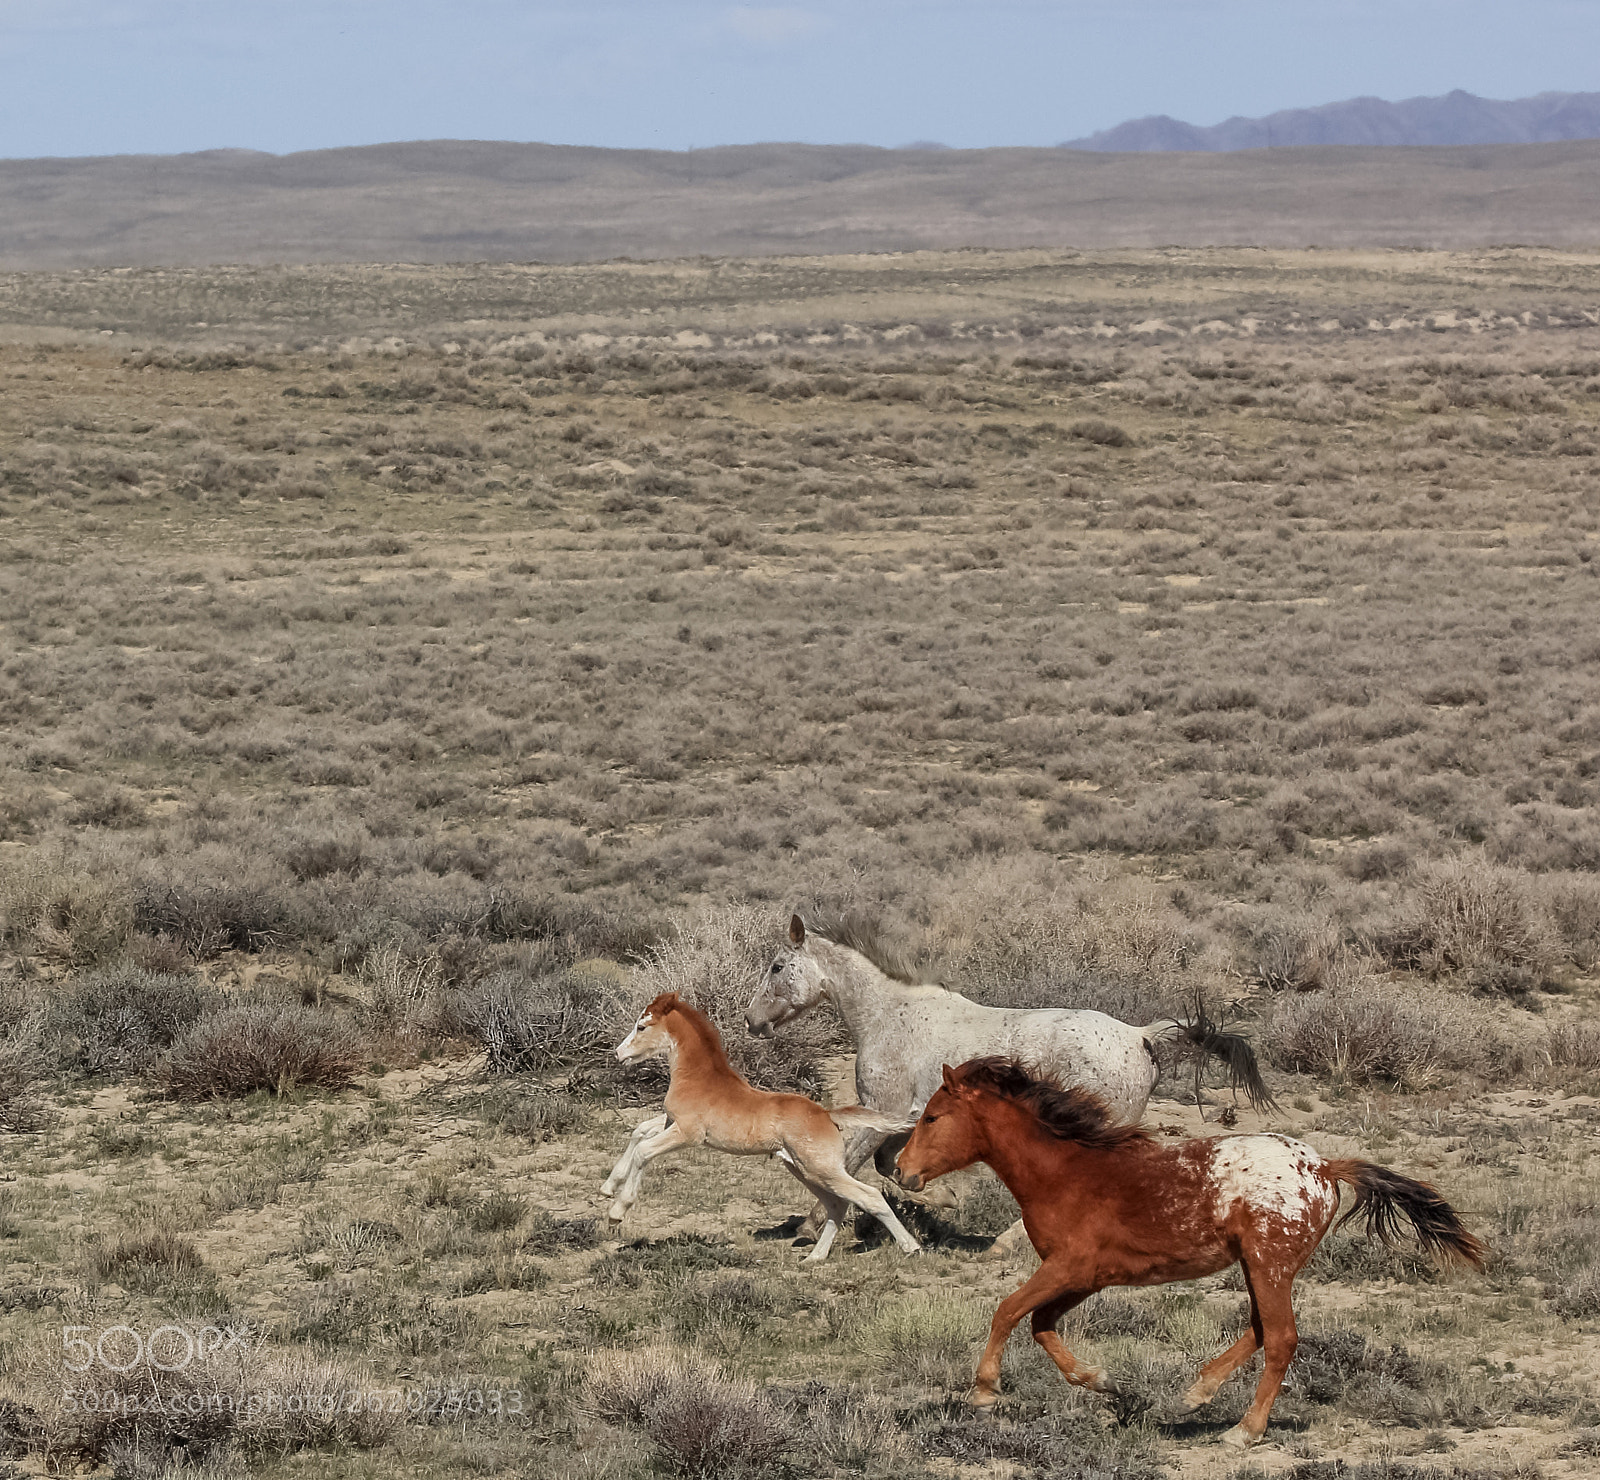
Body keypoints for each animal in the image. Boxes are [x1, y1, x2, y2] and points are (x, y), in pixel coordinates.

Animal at [600, 991, 923, 1263]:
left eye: (642, 1026)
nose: (618, 1053)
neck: (698, 1076)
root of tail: (825, 1113)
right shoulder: (671, 1121)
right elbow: (640, 1131)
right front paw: (608, 1187)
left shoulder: (689, 1134)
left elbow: (644, 1150)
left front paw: (617, 1211)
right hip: (804, 1169)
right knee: (837, 1205)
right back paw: (815, 1258)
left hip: (821, 1168)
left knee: (869, 1197)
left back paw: (912, 1247)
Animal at [745, 914, 1274, 1245]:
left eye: (776, 966)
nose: (751, 1021)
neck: (888, 1015)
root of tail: (1139, 1037)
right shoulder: (902, 1118)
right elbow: (886, 1165)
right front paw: (936, 1201)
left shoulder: (884, 1109)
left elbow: (852, 1165)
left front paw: (811, 1226)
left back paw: (1006, 1243)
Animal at [893, 1057, 1485, 1449]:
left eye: (931, 1117)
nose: (900, 1171)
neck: (1064, 1174)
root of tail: (1322, 1166)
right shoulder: (1086, 1276)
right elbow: (1040, 1323)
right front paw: (1107, 1386)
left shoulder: (1068, 1267)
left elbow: (1008, 1310)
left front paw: (983, 1392)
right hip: (1257, 1266)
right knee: (1261, 1329)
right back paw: (1191, 1397)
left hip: (1269, 1264)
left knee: (1281, 1338)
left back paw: (1243, 1431)